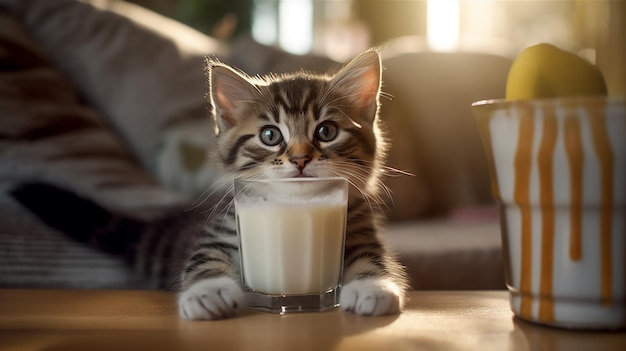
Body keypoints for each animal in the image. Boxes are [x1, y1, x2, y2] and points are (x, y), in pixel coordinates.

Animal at [178, 50, 408, 322]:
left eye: (326, 131)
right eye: (270, 135)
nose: (300, 158)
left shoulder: (361, 231)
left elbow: (371, 257)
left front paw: (371, 287)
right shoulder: (223, 230)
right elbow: (204, 259)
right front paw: (207, 292)